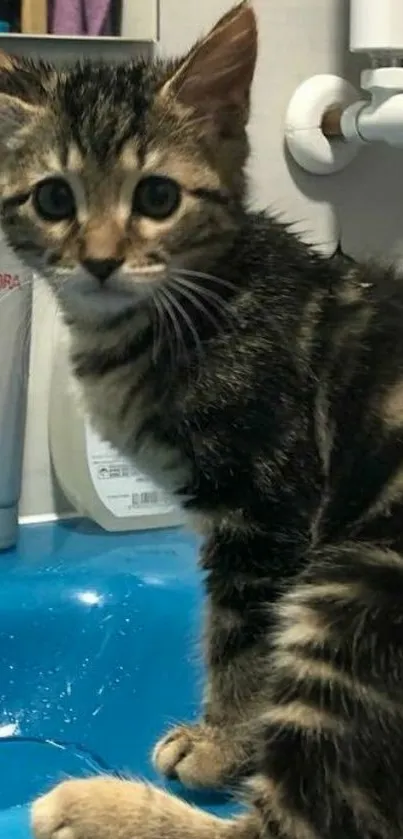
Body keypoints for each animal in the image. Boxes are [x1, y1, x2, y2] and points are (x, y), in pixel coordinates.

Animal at [0, 4, 403, 839]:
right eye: (54, 200)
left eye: (157, 197)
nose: (99, 260)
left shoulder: (269, 504)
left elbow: (243, 638)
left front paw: (221, 742)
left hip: (357, 580)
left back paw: (91, 803)